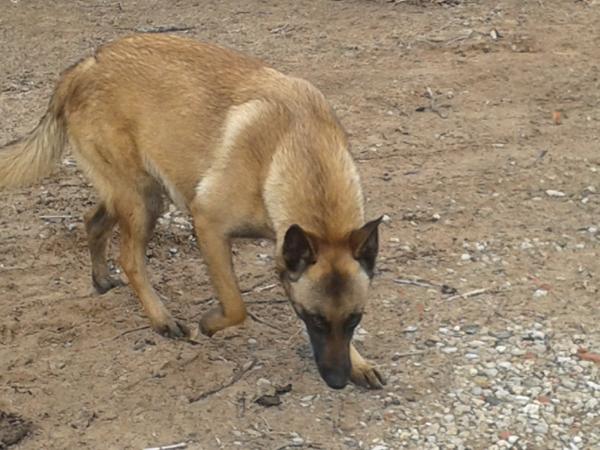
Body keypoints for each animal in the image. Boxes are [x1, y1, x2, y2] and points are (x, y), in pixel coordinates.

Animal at [0, 35, 384, 388]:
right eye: (314, 319)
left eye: (355, 320)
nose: (337, 380)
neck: (299, 147)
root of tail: (83, 67)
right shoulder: (209, 225)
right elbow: (236, 305)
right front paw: (209, 324)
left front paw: (359, 362)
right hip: (141, 200)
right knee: (130, 260)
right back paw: (161, 320)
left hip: (142, 194)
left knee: (93, 223)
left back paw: (101, 279)